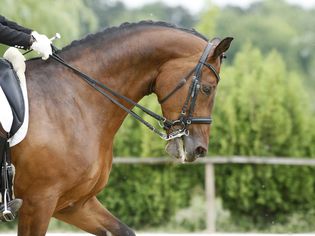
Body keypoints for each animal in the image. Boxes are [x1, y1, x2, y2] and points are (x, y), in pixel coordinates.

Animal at [10, 21, 232, 235]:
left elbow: (123, 231)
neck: (75, 99)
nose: (200, 149)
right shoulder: (38, 202)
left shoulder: (73, 204)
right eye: (207, 88)